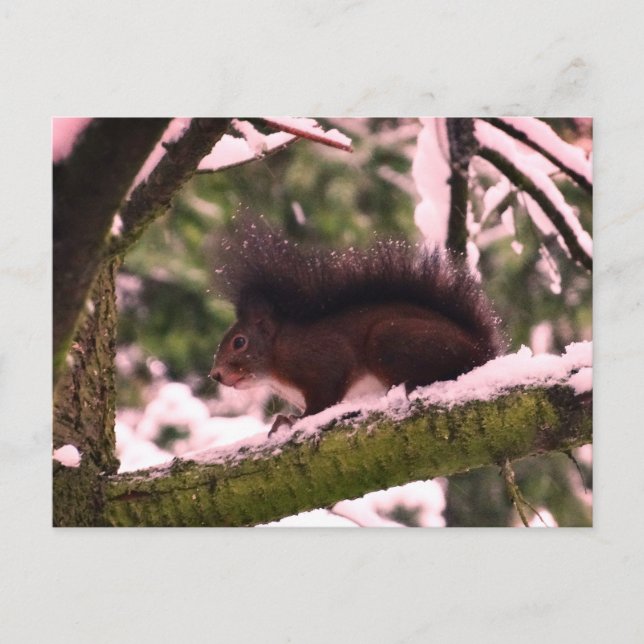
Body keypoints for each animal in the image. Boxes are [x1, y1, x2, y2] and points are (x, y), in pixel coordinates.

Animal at [210, 216, 502, 434]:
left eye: (239, 342)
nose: (216, 375)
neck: (276, 357)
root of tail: (481, 348)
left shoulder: (323, 360)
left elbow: (323, 399)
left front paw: (293, 420)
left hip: (389, 338)